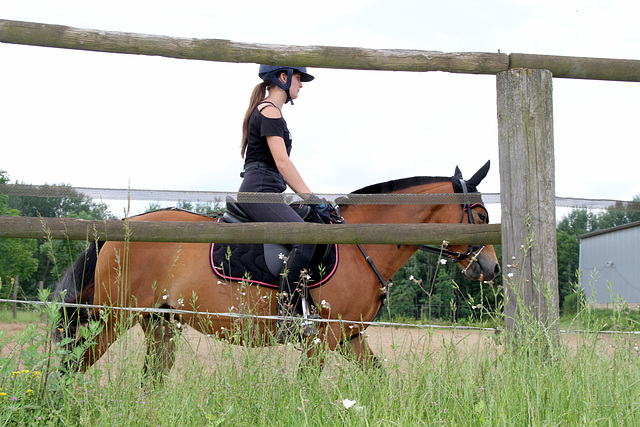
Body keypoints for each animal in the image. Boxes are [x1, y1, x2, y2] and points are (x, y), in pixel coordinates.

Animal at [53, 161, 500, 378]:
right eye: (480, 215)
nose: (492, 268)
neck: (361, 243)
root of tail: (122, 229)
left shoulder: (349, 337)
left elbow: (378, 379)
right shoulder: (324, 337)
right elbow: (307, 385)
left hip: (160, 323)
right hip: (110, 319)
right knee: (71, 366)